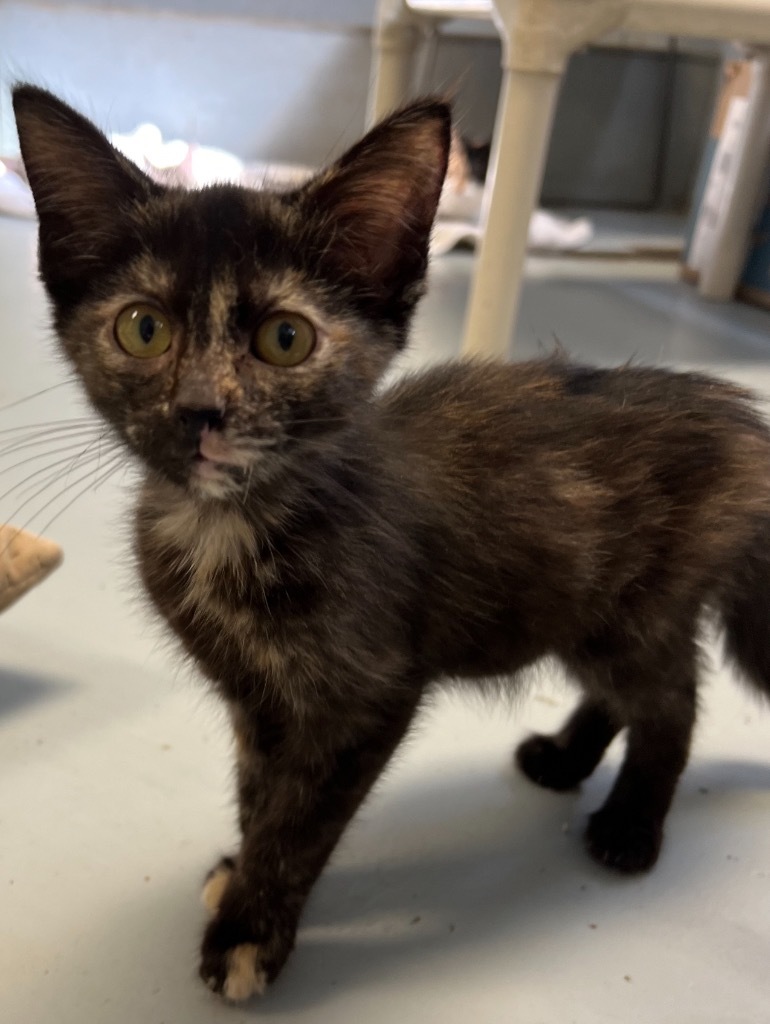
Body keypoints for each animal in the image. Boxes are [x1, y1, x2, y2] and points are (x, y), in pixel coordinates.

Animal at [13, 86, 770, 999]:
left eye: (286, 339)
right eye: (144, 330)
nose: (201, 410)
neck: (231, 525)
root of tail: (740, 417)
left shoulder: (365, 695)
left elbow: (301, 818)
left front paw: (250, 934)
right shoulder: (258, 699)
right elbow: (260, 791)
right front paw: (240, 870)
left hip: (636, 609)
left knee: (672, 702)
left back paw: (629, 827)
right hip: (583, 609)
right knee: (626, 694)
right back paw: (563, 757)